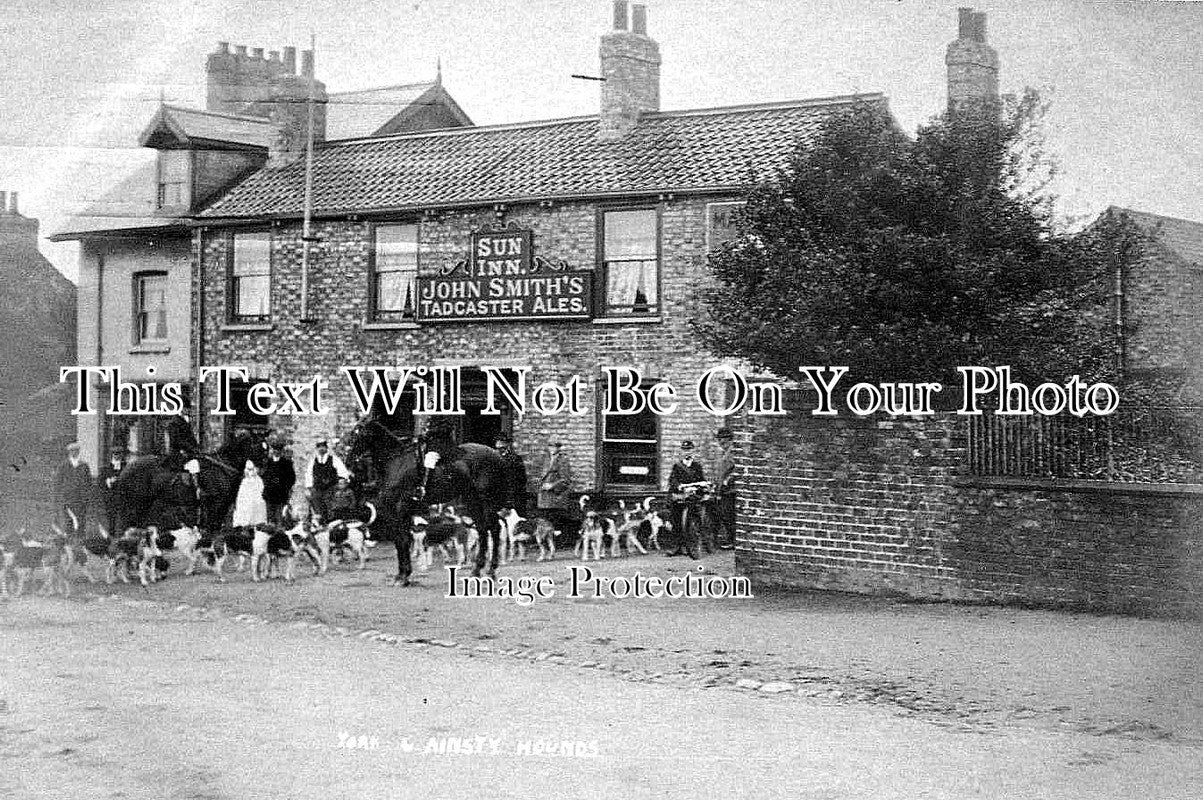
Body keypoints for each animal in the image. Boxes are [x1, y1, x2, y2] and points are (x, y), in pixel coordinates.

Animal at [341, 413, 505, 584]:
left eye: (362, 433)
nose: (348, 460)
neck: (397, 462)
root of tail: (497, 456)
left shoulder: (401, 507)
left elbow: (402, 540)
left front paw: (403, 577)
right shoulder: (399, 510)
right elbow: (401, 540)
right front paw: (402, 574)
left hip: (487, 502)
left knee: (494, 529)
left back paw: (490, 571)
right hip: (472, 501)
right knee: (483, 530)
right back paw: (477, 570)